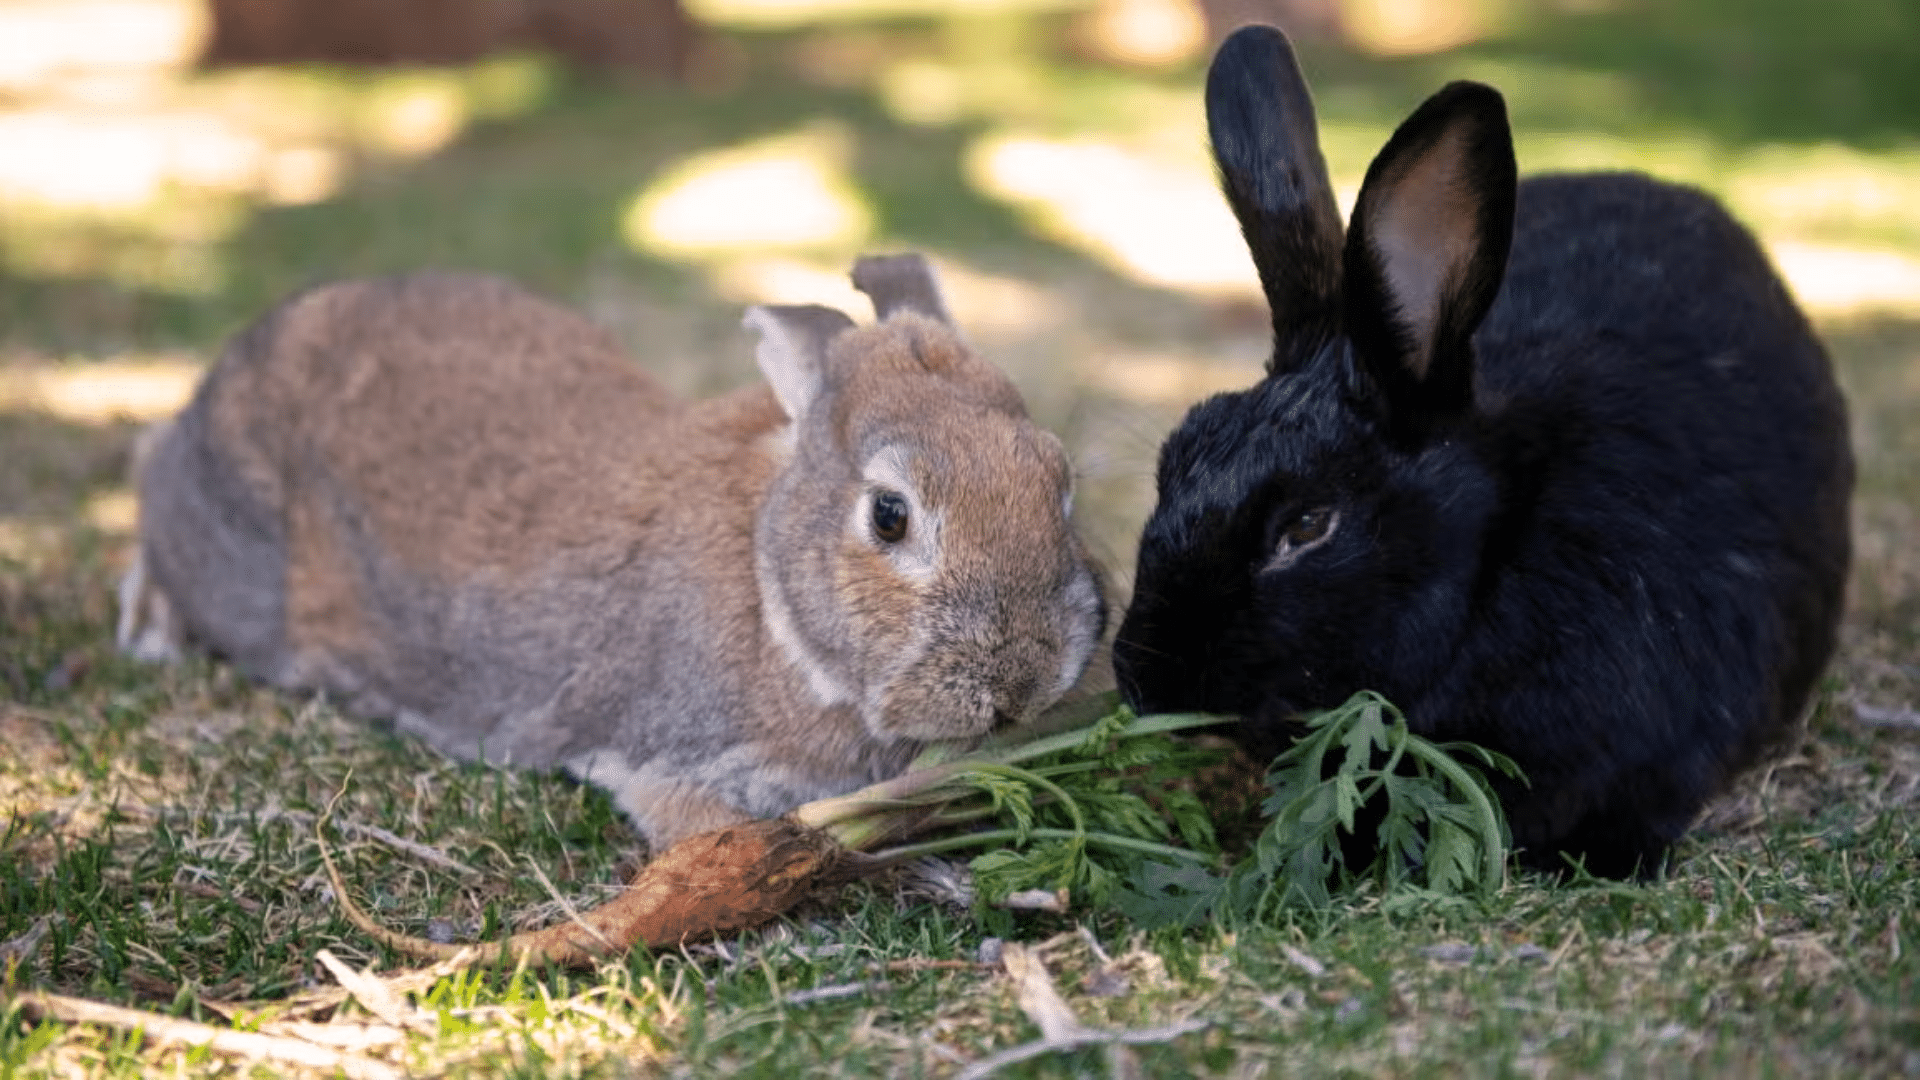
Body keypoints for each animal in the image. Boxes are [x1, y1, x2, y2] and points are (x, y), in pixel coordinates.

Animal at [117, 255, 1108, 849]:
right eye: (890, 516)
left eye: (1057, 477)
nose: (1025, 679)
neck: (773, 596)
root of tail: (238, 359)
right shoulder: (657, 759)